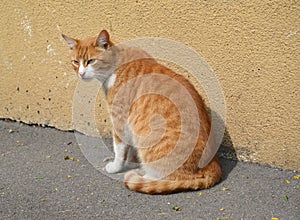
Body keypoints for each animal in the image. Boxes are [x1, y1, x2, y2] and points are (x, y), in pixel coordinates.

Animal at [62, 29, 223, 194]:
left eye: (91, 61)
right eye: (75, 62)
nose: (81, 73)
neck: (116, 64)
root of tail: (213, 166)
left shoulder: (119, 119)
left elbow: (119, 148)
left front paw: (116, 166)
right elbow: (130, 148)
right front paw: (131, 161)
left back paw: (142, 175)